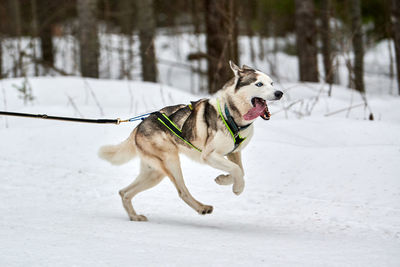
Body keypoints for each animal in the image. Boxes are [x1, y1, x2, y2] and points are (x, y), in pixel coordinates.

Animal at [98, 61, 282, 222]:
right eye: (259, 84)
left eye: (272, 83)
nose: (279, 93)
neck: (232, 115)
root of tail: (139, 125)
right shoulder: (209, 155)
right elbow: (237, 170)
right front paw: (237, 188)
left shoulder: (234, 153)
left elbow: (240, 171)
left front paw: (223, 180)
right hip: (171, 162)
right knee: (182, 191)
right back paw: (202, 207)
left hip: (154, 173)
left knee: (124, 192)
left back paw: (134, 216)